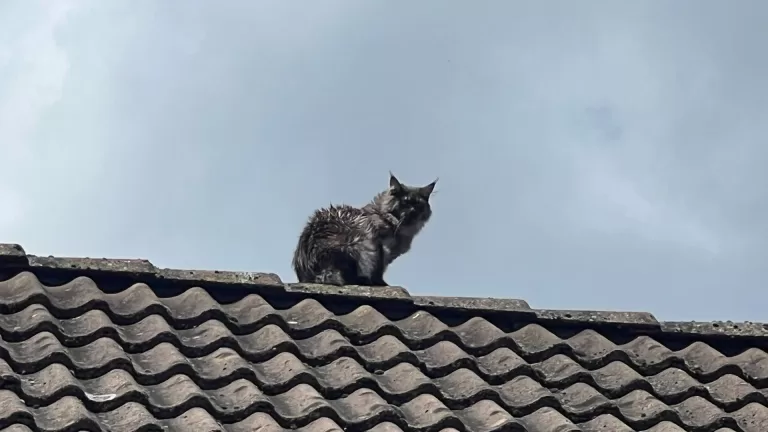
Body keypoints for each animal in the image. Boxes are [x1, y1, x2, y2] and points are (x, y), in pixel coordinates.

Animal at [292, 172, 438, 286]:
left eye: (418, 204)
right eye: (405, 203)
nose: (413, 211)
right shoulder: (380, 244)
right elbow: (379, 270)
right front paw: (382, 284)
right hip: (362, 241)